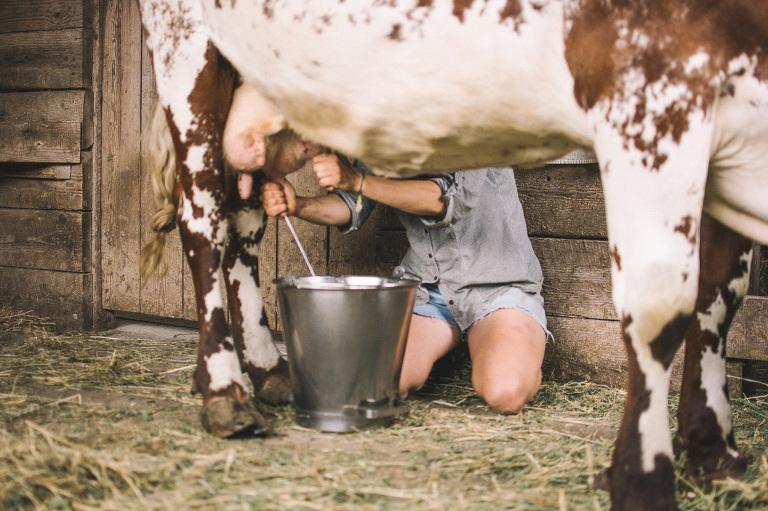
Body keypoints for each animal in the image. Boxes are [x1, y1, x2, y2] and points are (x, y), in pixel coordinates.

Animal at [136, 1, 768, 511]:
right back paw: (225, 391)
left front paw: (714, 454)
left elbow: (719, 297)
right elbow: (661, 310)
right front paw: (643, 478)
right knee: (202, 221)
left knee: (243, 219)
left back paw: (268, 371)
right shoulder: (650, 93)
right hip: (185, 48)